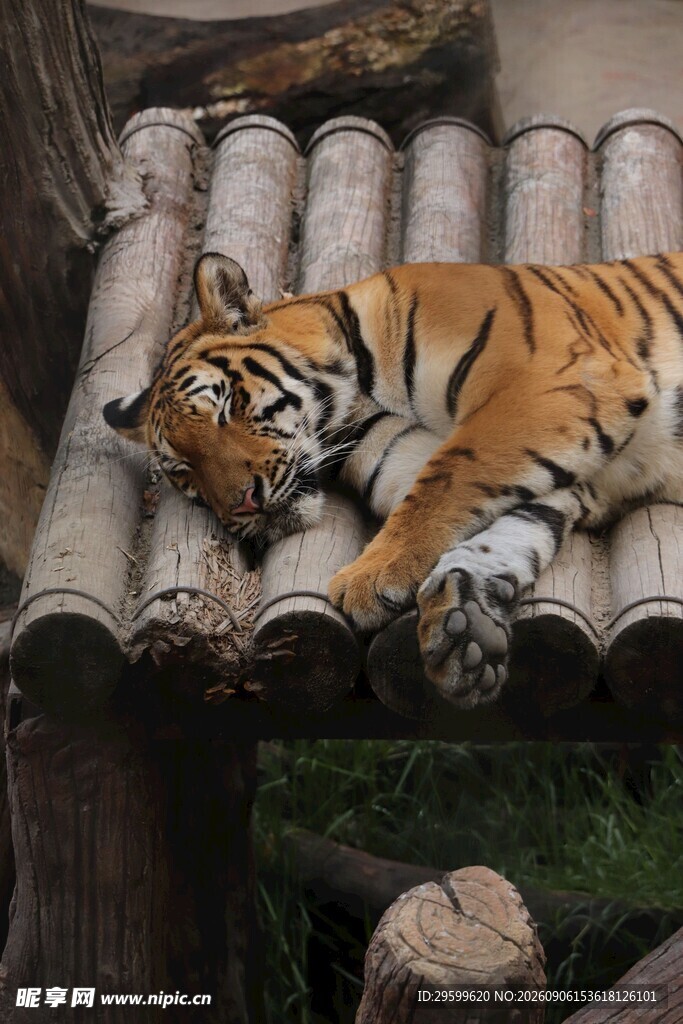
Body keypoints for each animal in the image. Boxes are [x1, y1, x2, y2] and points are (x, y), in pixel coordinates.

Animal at [104, 251, 683, 708]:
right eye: (184, 471)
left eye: (224, 406)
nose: (243, 504)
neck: (352, 400)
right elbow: (510, 524)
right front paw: (464, 622)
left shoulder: (553, 382)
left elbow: (453, 471)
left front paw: (372, 577)